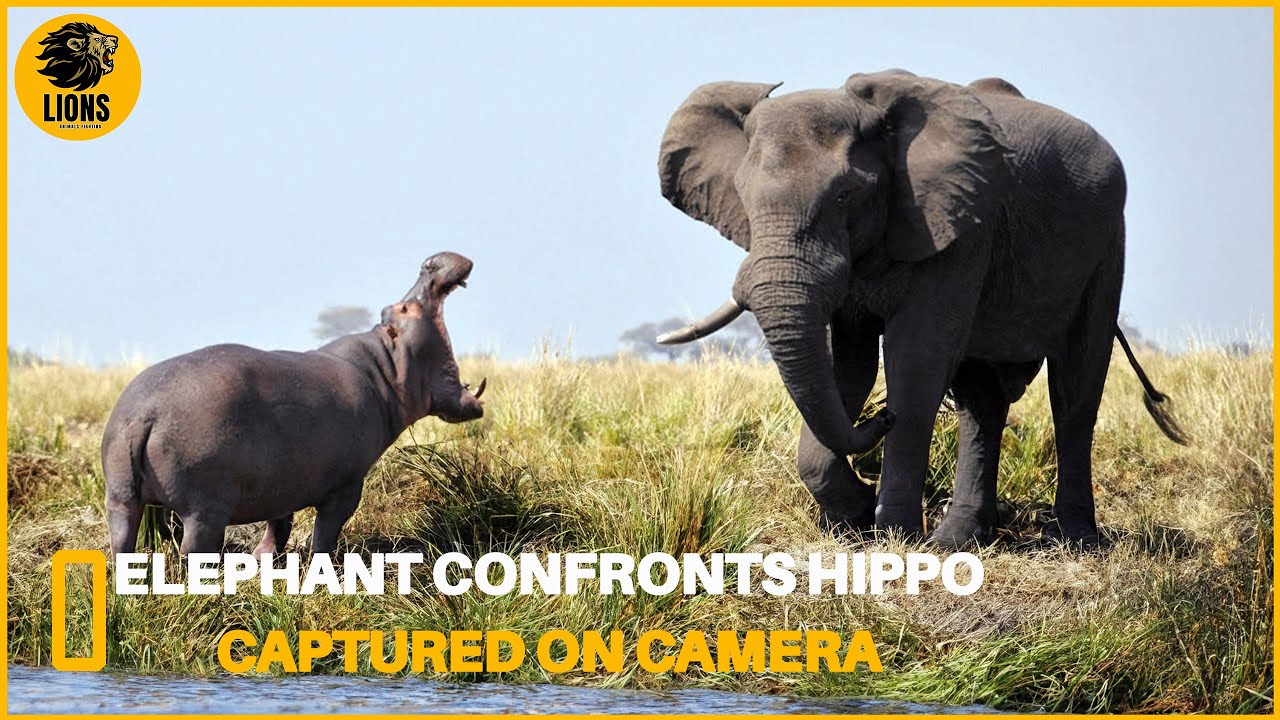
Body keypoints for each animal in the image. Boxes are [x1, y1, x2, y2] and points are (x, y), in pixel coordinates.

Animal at [103, 252, 486, 556]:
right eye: (404, 308)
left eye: (389, 308)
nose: (429, 262)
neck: (385, 367)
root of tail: (143, 414)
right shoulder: (346, 486)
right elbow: (326, 531)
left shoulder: (280, 483)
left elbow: (279, 523)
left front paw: (263, 557)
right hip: (204, 510)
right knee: (193, 550)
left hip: (121, 498)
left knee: (124, 541)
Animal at [656, 70, 1187, 546]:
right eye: (743, 197)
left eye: (845, 195)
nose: (880, 419)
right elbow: (847, 369)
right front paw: (853, 520)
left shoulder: (959, 225)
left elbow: (916, 363)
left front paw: (893, 535)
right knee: (981, 398)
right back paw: (957, 542)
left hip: (1106, 243)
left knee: (1075, 386)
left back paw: (1075, 541)